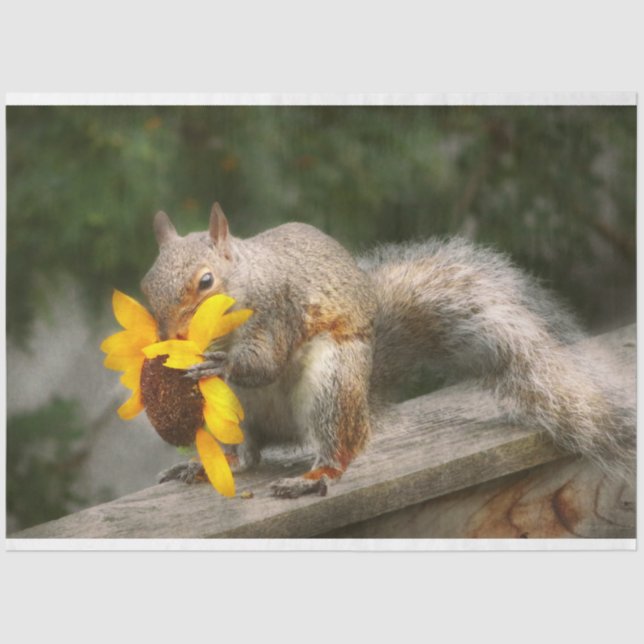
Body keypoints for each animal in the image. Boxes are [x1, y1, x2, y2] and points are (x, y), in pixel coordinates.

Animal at [141, 202, 636, 498]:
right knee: (249, 457)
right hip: (237, 415)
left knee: (340, 451)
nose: (170, 336)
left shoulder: (277, 312)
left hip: (332, 384)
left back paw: (313, 477)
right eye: (146, 286)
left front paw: (219, 362)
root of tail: (365, 401)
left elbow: (264, 361)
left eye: (206, 282)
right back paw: (208, 465)